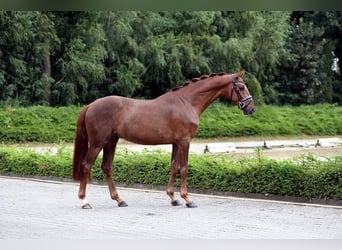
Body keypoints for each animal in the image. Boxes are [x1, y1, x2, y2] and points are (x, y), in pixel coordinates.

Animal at [71, 69, 254, 208]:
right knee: (86, 166)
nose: (251, 109)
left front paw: (173, 198)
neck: (186, 102)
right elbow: (184, 168)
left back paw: (119, 200)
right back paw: (85, 201)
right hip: (97, 143)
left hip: (111, 142)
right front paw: (188, 199)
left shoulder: (176, 143)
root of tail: (90, 105)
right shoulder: (184, 142)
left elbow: (174, 167)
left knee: (107, 167)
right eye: (241, 87)